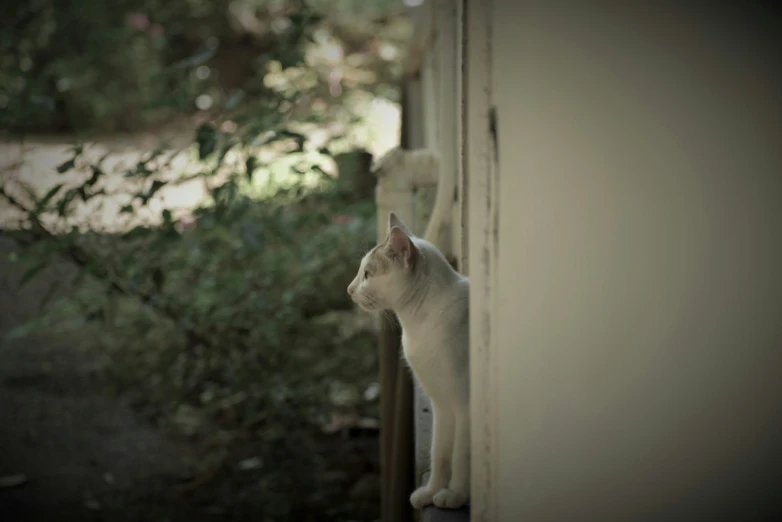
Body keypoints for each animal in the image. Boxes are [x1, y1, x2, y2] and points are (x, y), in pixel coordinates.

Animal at [350, 211, 472, 508]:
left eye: (367, 274)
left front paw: (456, 494)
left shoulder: (464, 405)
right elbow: (440, 454)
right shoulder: (442, 404)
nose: (349, 289)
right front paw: (431, 492)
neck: (417, 326)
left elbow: (460, 456)